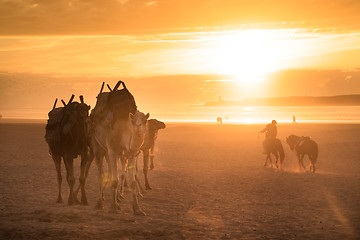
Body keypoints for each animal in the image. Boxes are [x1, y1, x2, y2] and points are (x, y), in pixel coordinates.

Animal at [90, 81, 149, 216]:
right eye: (133, 120)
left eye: (145, 120)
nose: (139, 126)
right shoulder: (112, 150)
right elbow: (115, 180)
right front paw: (113, 207)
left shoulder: (131, 154)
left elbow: (131, 181)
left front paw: (137, 209)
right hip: (98, 146)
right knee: (101, 172)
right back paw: (99, 203)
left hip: (111, 152)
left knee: (112, 172)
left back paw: (115, 198)